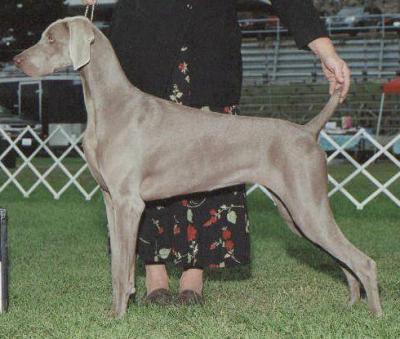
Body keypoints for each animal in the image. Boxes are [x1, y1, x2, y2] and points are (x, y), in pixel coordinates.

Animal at [14, 15, 382, 318]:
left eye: (50, 39)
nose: (16, 60)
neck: (108, 105)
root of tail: (308, 130)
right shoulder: (110, 201)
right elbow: (118, 264)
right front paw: (116, 310)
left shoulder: (129, 204)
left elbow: (122, 270)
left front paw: (118, 317)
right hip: (295, 214)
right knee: (344, 260)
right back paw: (351, 304)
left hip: (307, 207)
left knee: (363, 261)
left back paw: (375, 316)